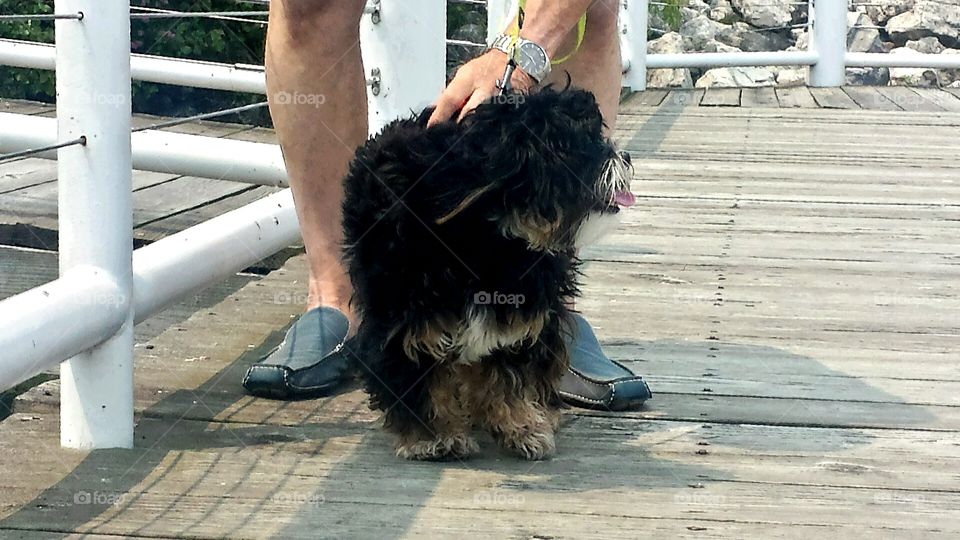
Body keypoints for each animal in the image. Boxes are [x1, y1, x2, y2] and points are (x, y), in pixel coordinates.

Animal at [342, 87, 632, 460]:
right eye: (584, 144)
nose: (625, 156)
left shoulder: (517, 319)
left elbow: (508, 378)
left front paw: (521, 428)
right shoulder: (406, 323)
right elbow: (418, 378)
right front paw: (433, 437)